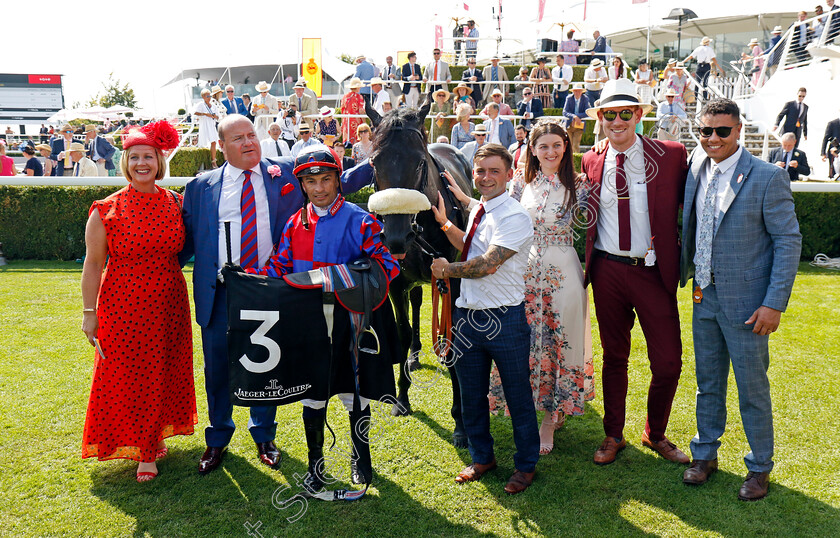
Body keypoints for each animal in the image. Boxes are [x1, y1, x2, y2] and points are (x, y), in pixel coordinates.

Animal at [366, 100, 476, 444]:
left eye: (418, 163)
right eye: (374, 162)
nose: (396, 237)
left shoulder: (453, 278)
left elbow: (454, 334)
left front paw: (461, 420)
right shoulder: (396, 283)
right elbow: (401, 333)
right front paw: (402, 398)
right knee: (416, 300)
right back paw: (416, 353)